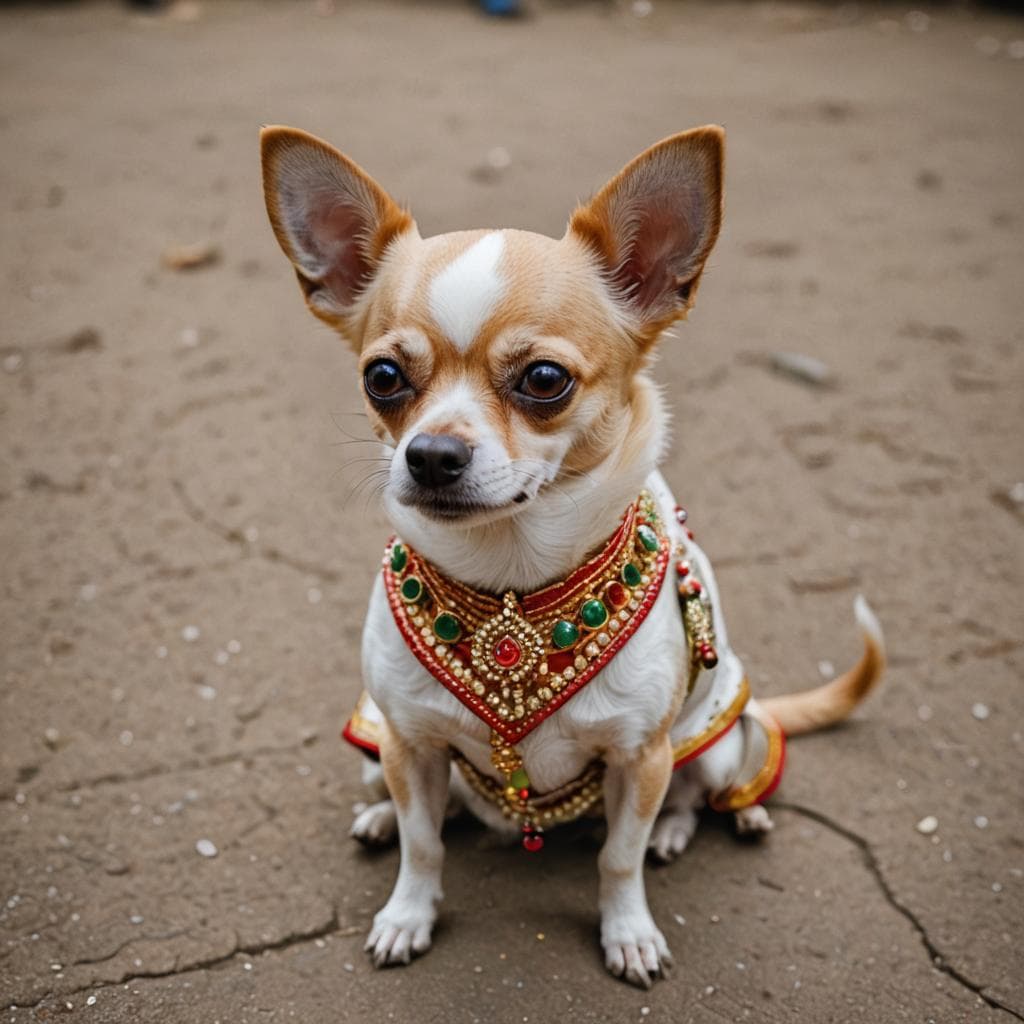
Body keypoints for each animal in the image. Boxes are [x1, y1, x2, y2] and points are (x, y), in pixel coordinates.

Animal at [260, 123, 884, 987]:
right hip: (375, 739)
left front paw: (628, 931)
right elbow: (424, 845)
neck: (512, 585)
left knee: (701, 792)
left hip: (718, 740)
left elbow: (617, 858)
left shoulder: (640, 758)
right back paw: (379, 816)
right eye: (381, 377)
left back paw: (706, 823)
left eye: (545, 379)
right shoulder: (411, 745)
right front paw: (407, 913)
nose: (430, 455)